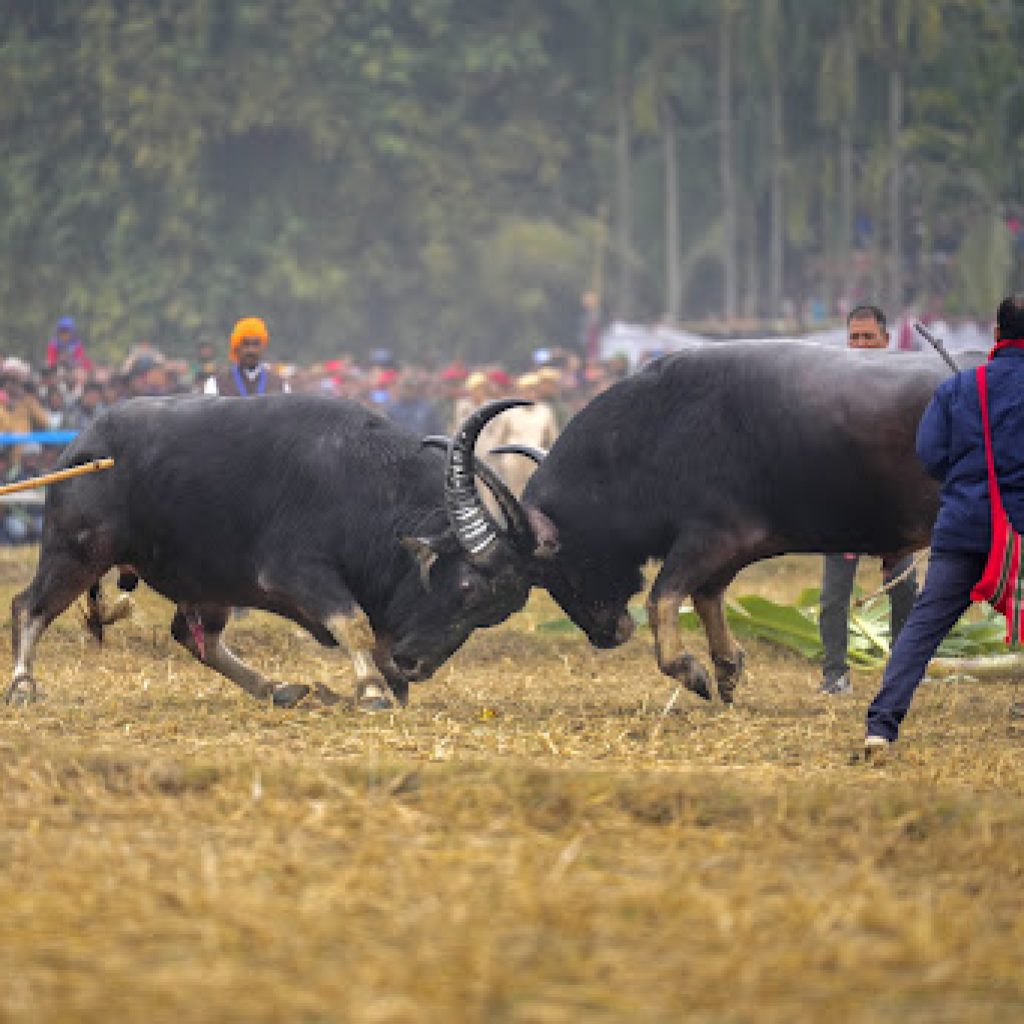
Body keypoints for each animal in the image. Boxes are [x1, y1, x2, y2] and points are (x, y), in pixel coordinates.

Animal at [8, 393, 532, 712]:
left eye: (492, 614)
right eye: (466, 588)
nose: (416, 666)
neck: (368, 491)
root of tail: (80, 445)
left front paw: (384, 684)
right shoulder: (295, 573)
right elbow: (354, 622)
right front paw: (372, 692)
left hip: (210, 584)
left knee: (195, 638)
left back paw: (278, 688)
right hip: (75, 550)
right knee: (28, 607)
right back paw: (21, 686)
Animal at [491, 344, 954, 704]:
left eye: (553, 566)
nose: (605, 635)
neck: (655, 433)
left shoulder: (712, 535)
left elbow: (662, 596)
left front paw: (690, 671)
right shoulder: (732, 549)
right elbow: (706, 597)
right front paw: (728, 670)